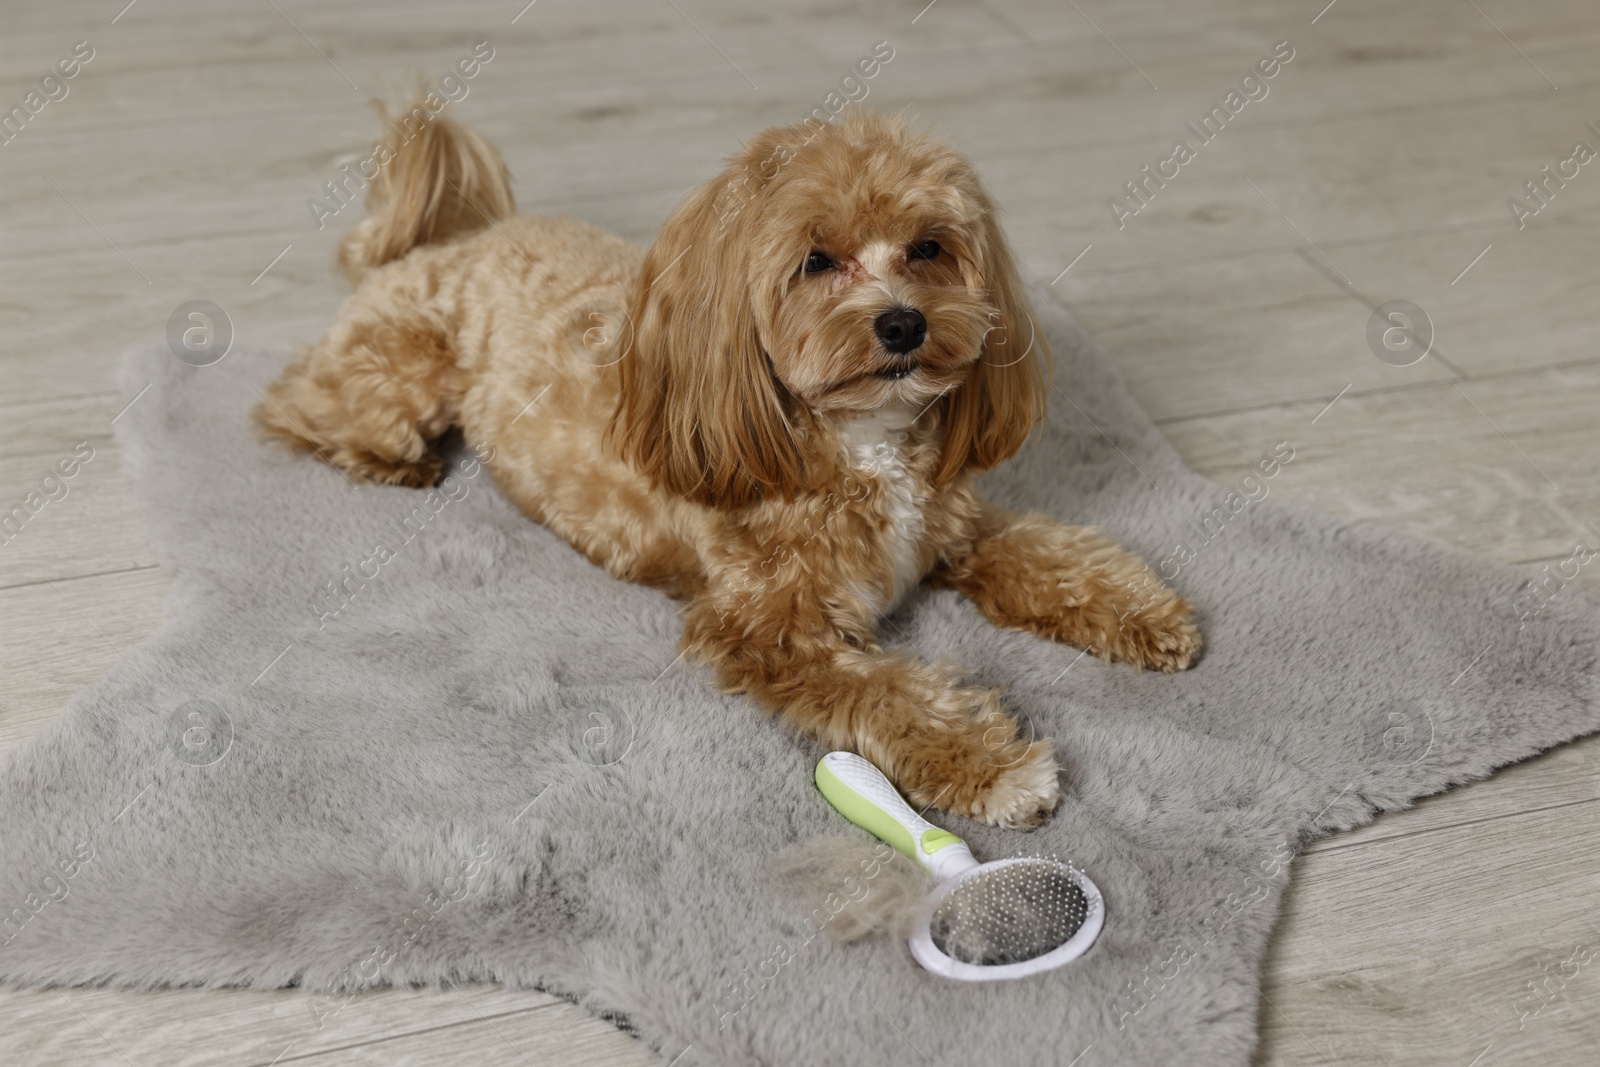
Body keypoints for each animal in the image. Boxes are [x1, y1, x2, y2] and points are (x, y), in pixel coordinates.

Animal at [252, 103, 1203, 831]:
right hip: (395, 379)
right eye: (816, 261)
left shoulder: (957, 523)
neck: (854, 438)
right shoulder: (768, 631)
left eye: (929, 247)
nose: (903, 323)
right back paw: (383, 461)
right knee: (294, 400)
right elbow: (890, 693)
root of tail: (451, 238)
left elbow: (1051, 554)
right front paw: (992, 765)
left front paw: (1141, 611)